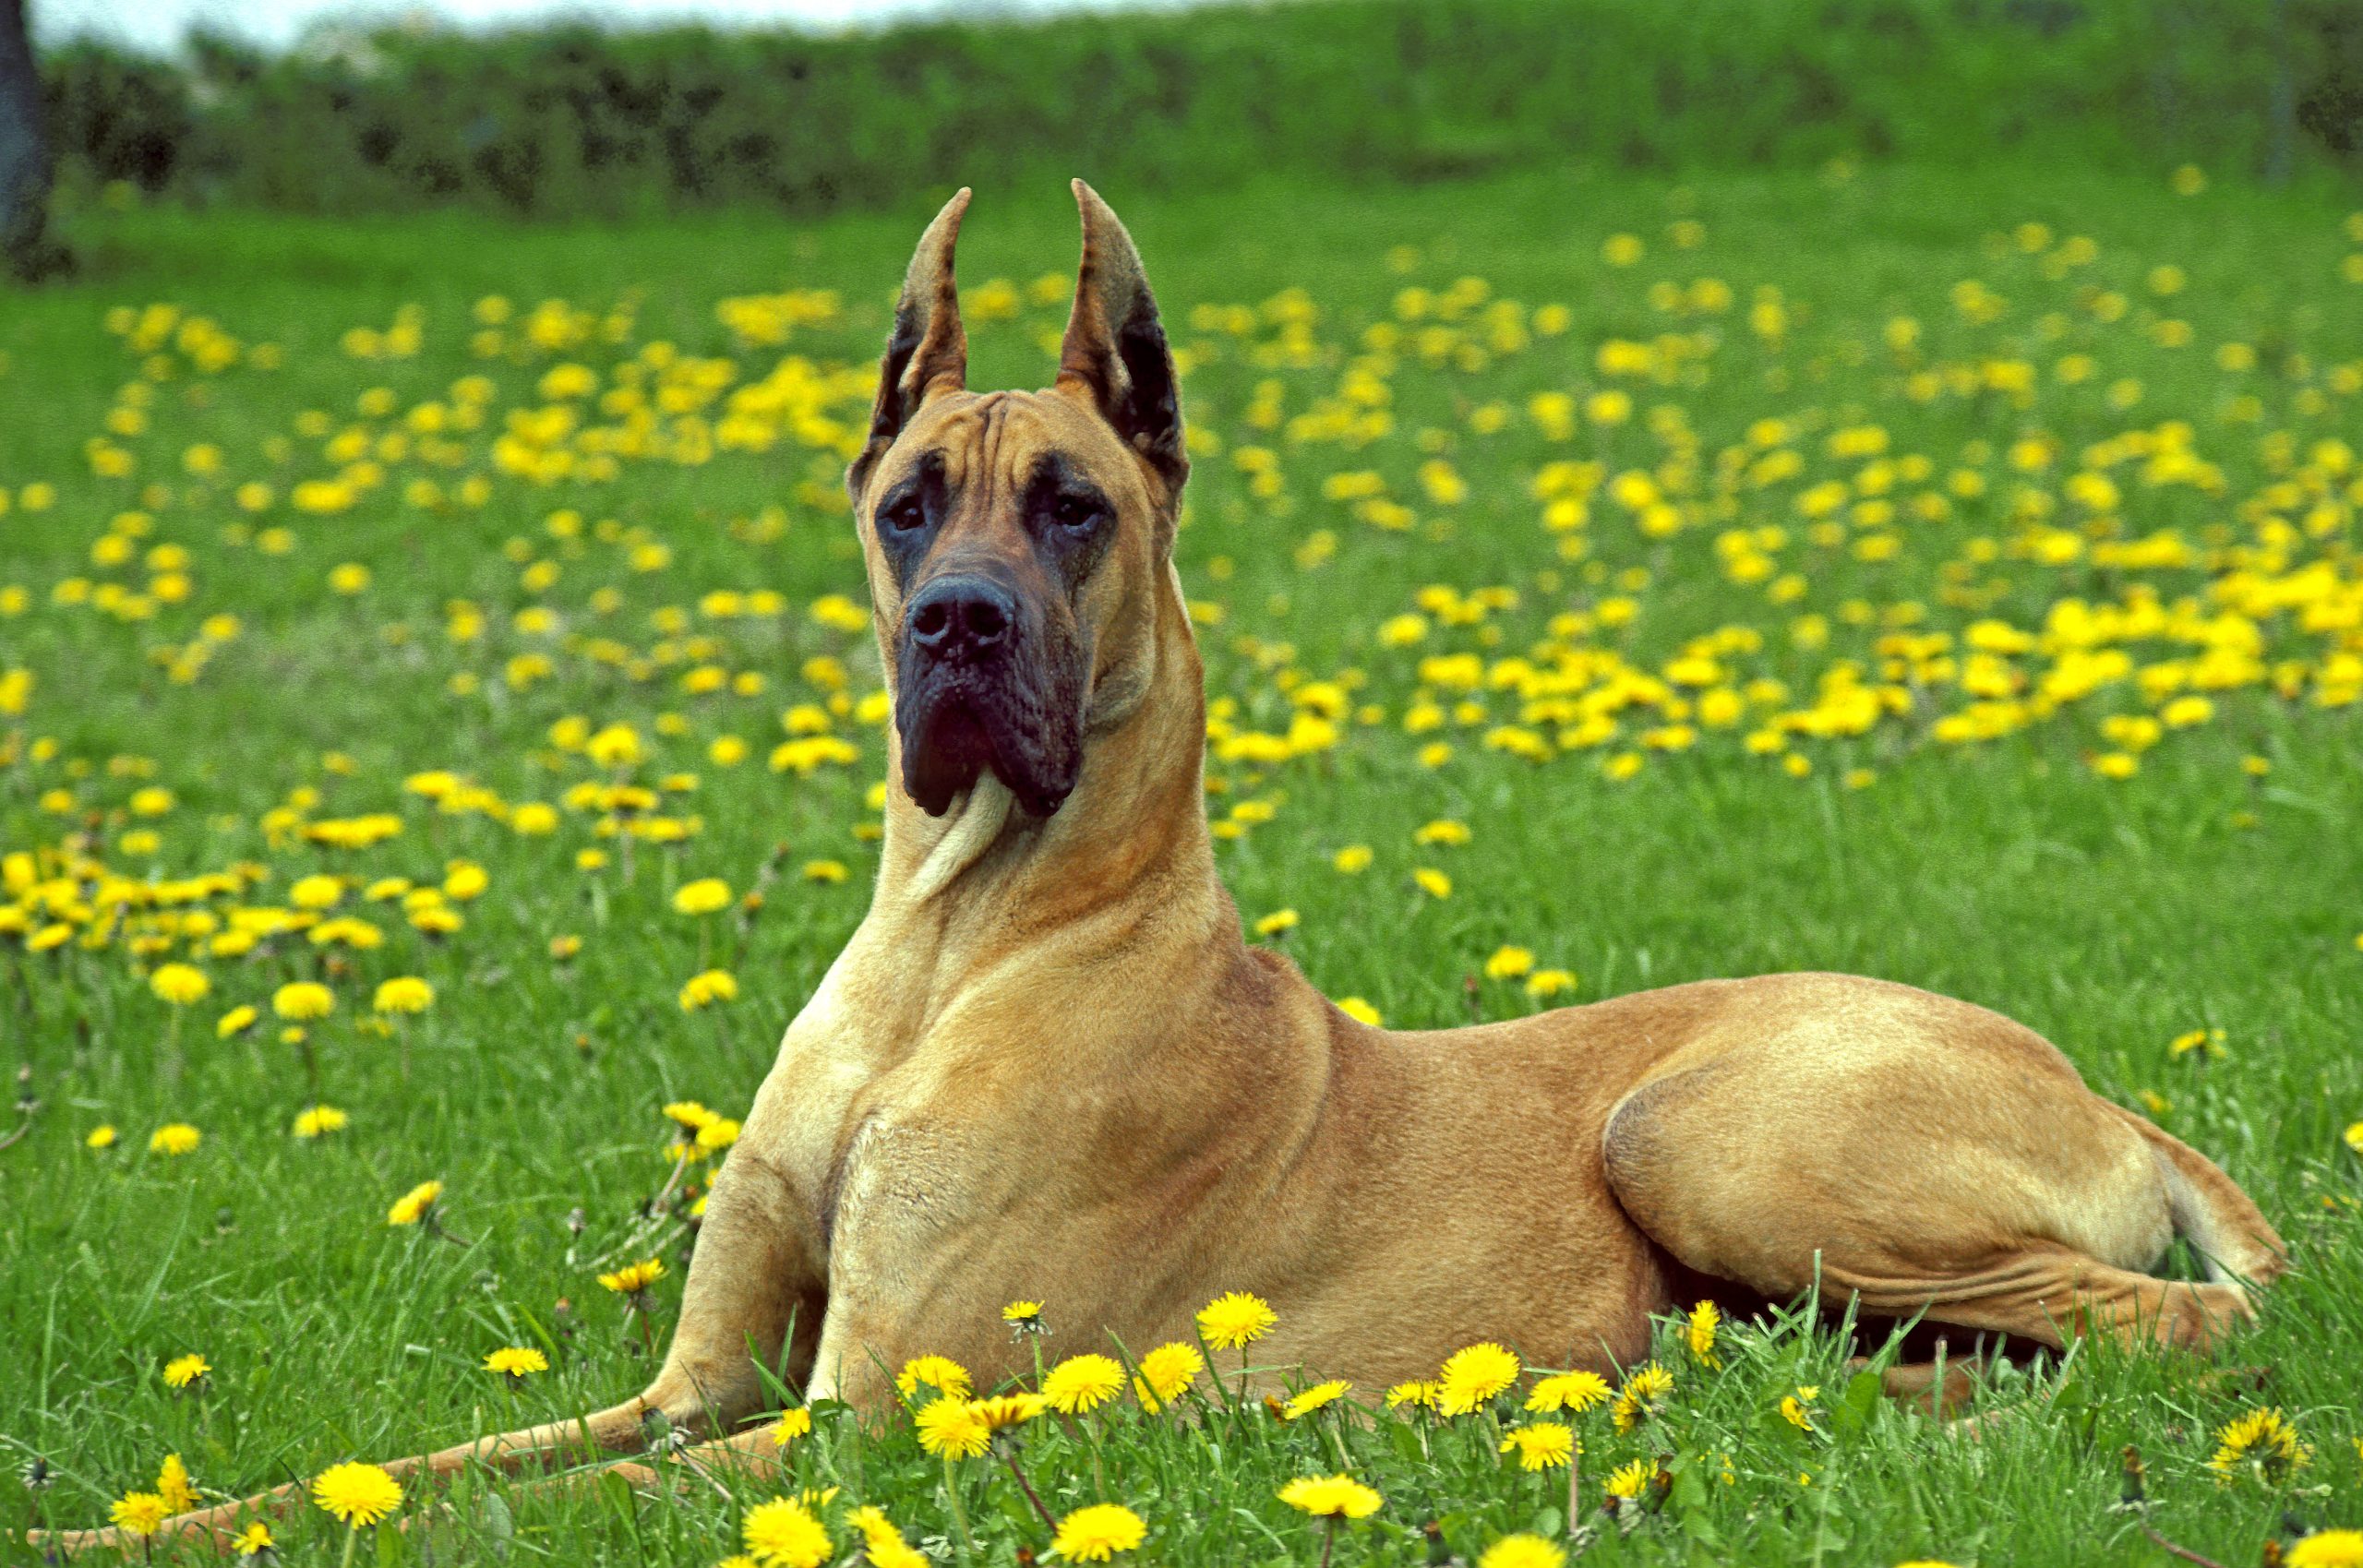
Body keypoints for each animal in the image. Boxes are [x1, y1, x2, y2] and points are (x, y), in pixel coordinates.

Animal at [51, 180, 2268, 1539]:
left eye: (1073, 507)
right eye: (905, 503)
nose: (957, 630)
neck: (956, 944)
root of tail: (2098, 1086)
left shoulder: (853, 1420)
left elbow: (533, 1505)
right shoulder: (695, 1389)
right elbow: (408, 1464)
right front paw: (139, 1517)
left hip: (1700, 1128)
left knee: (2162, 1328)